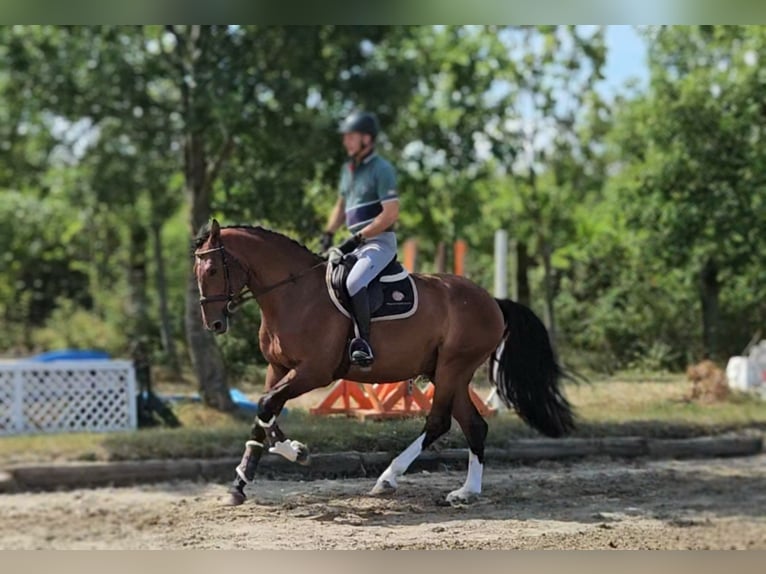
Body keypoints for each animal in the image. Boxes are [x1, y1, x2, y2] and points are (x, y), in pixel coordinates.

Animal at [194, 222, 576, 508]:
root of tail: (492, 301)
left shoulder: (314, 371)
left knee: (438, 422)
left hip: (453, 368)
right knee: (474, 426)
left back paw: (389, 477)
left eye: (211, 270)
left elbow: (265, 406)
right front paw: (258, 472)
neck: (292, 293)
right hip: (448, 372)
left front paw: (268, 466)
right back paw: (467, 491)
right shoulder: (277, 368)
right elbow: (267, 414)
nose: (213, 324)